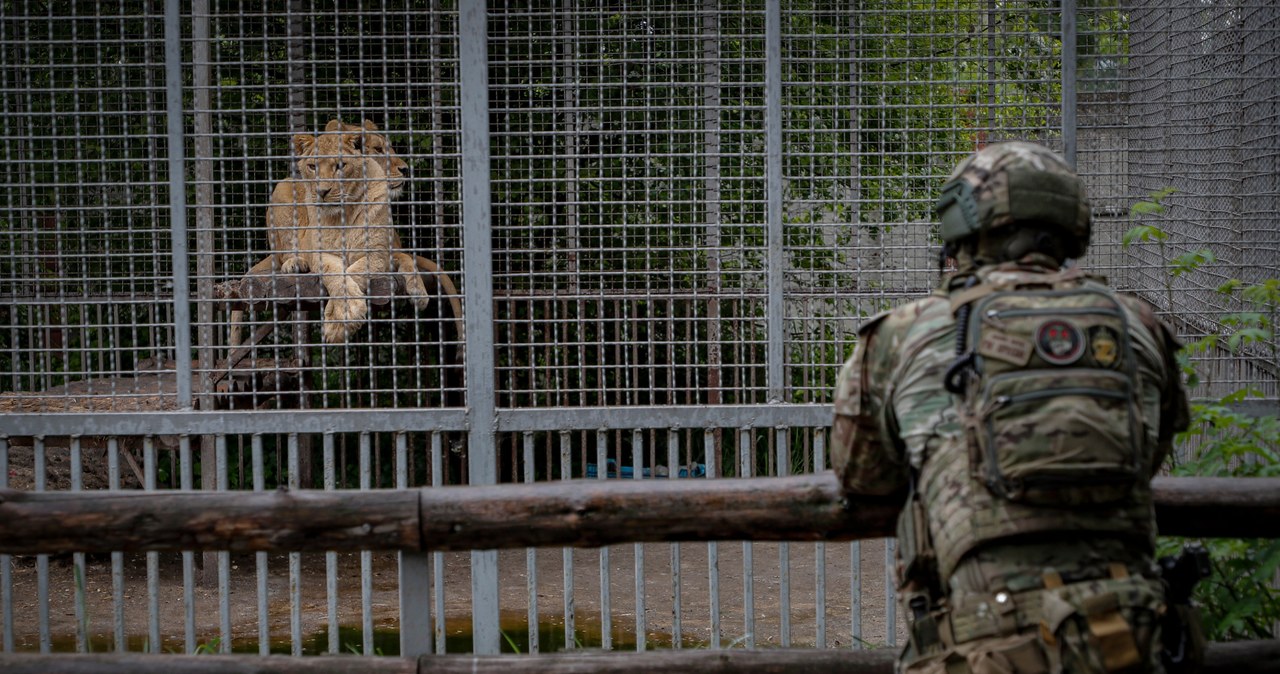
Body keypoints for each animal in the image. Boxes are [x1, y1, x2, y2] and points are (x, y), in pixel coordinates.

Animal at [230, 118, 430, 345]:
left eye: (340, 166)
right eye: (312, 167)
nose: (322, 191)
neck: (345, 211)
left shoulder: (378, 253)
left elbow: (362, 269)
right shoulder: (321, 253)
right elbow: (335, 274)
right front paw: (342, 318)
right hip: (283, 188)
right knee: (283, 256)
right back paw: (295, 263)